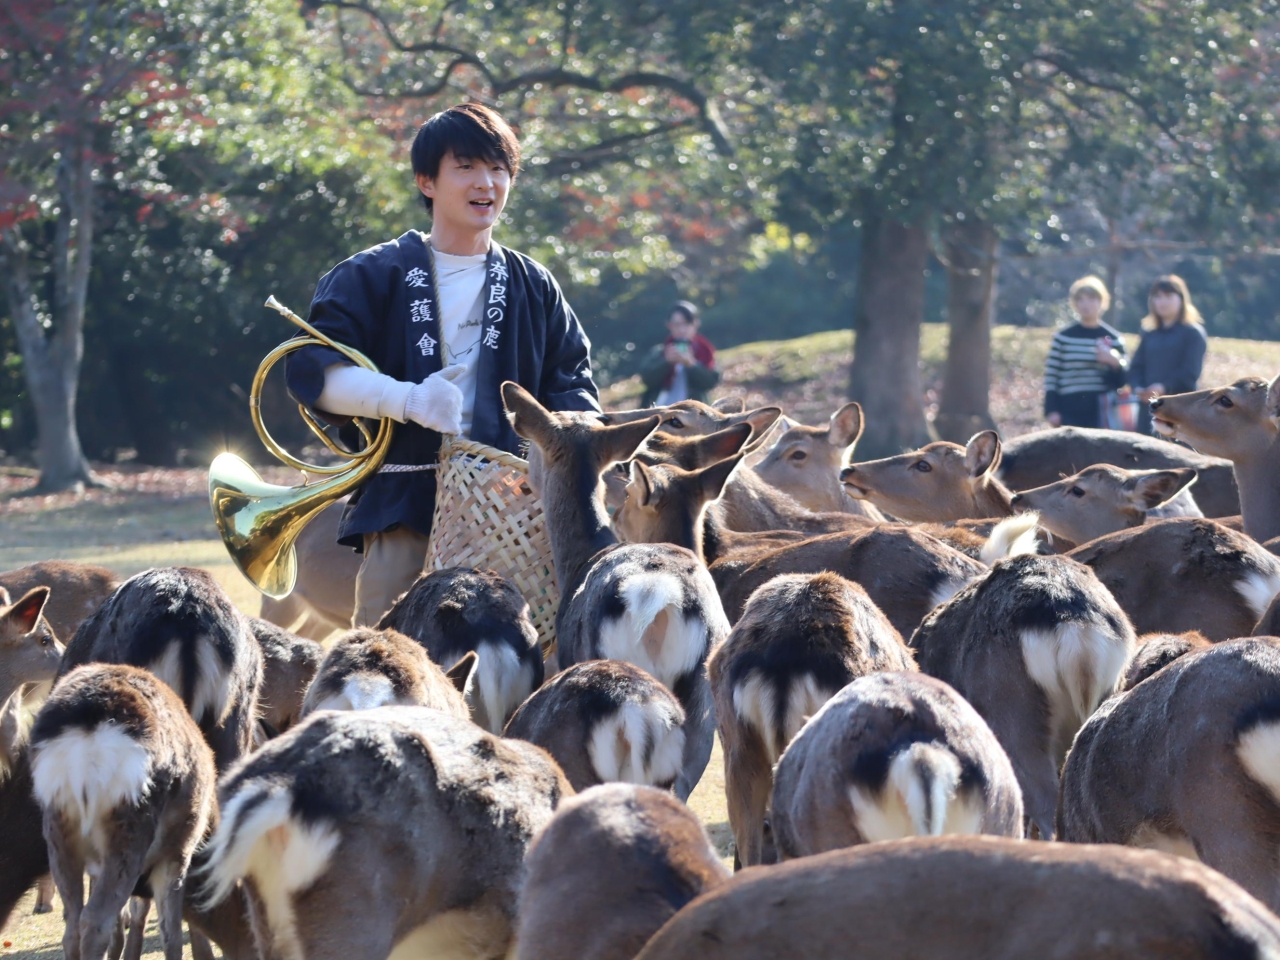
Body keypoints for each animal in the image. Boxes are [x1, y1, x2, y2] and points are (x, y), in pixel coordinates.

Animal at [30, 663, 216, 960]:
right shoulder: (178, 853)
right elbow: (171, 933)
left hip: (58, 828)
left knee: (73, 926)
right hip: (130, 826)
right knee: (95, 921)